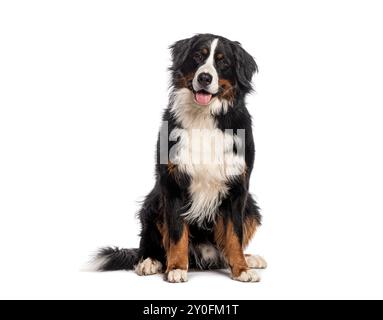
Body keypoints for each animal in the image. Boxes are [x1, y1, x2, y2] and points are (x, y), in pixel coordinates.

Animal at [94, 33, 268, 282]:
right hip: (152, 203)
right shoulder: (173, 183)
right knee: (149, 244)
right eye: (197, 56)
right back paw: (150, 262)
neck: (204, 118)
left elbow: (234, 236)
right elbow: (176, 234)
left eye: (223, 62)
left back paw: (249, 258)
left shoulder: (238, 188)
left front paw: (242, 269)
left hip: (251, 207)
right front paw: (176, 267)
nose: (204, 77)